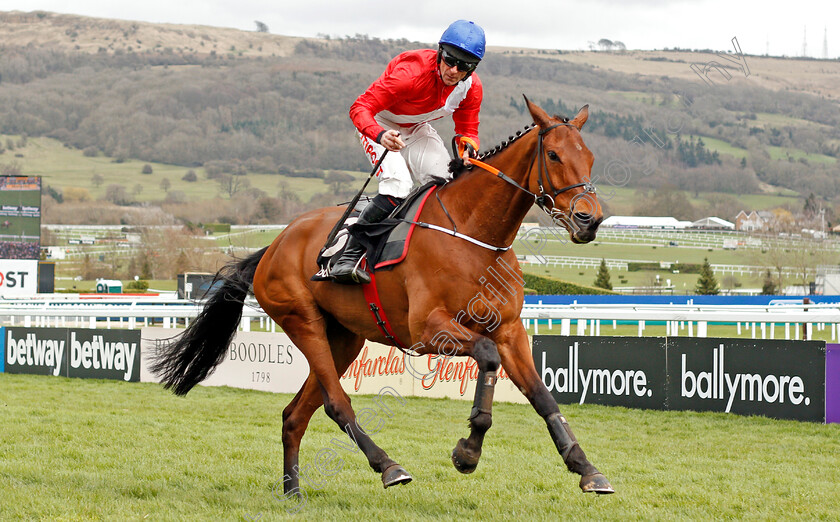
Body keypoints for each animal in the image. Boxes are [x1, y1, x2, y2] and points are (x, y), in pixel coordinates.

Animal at [151, 96, 612, 496]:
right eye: (553, 155)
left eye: (590, 157)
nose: (588, 220)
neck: (474, 235)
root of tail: (275, 245)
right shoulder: (429, 330)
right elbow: (487, 357)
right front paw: (467, 451)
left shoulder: (511, 330)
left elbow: (542, 396)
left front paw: (586, 469)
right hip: (303, 322)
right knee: (336, 404)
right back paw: (388, 466)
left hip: (344, 338)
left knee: (295, 415)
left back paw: (293, 492)